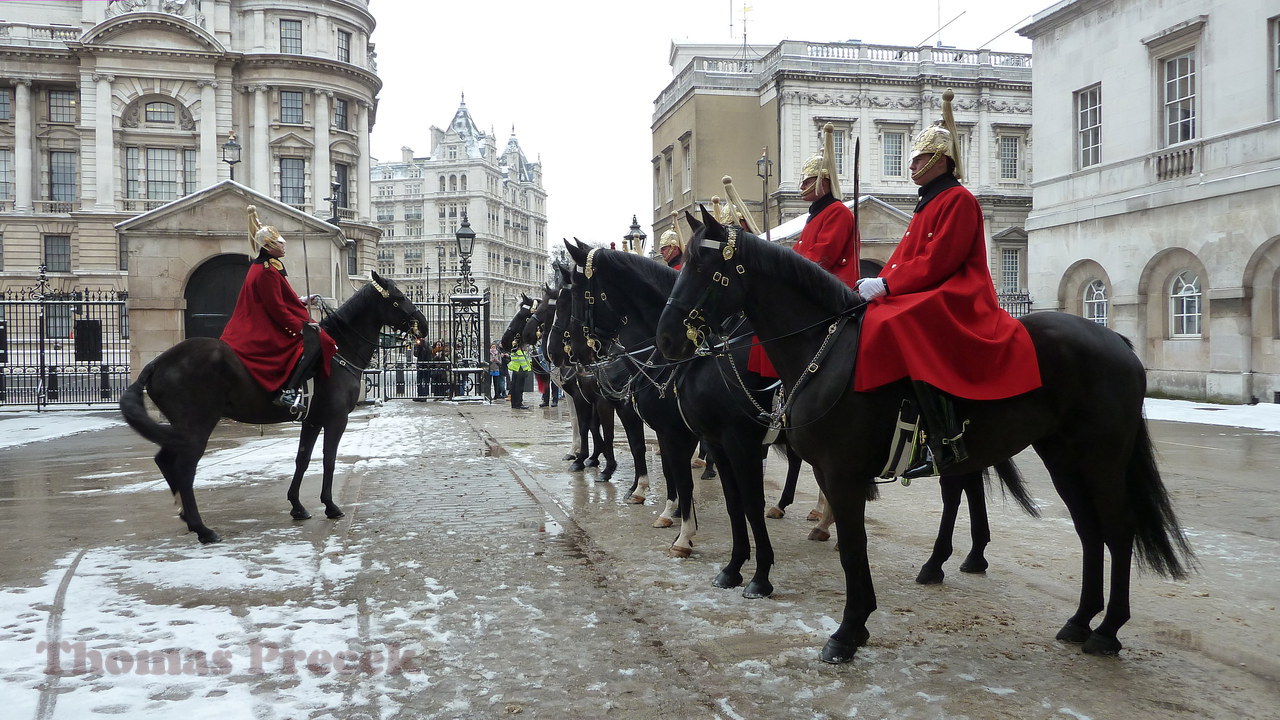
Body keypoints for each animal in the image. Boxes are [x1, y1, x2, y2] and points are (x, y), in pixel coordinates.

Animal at [118, 271, 424, 540]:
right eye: (399, 297)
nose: (423, 322)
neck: (339, 349)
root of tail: (157, 362)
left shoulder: (312, 420)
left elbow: (303, 459)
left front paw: (297, 506)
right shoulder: (336, 419)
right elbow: (329, 459)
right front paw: (330, 505)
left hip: (181, 426)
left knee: (165, 459)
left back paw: (185, 514)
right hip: (198, 424)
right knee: (183, 467)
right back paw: (202, 529)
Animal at [655, 208, 1192, 661]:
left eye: (704, 267)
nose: (665, 340)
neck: (824, 350)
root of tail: (1116, 339)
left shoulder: (832, 471)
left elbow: (850, 546)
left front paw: (845, 630)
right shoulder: (805, 467)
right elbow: (827, 536)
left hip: (1100, 458)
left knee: (1116, 528)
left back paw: (1107, 630)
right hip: (1062, 457)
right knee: (1087, 529)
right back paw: (1079, 620)